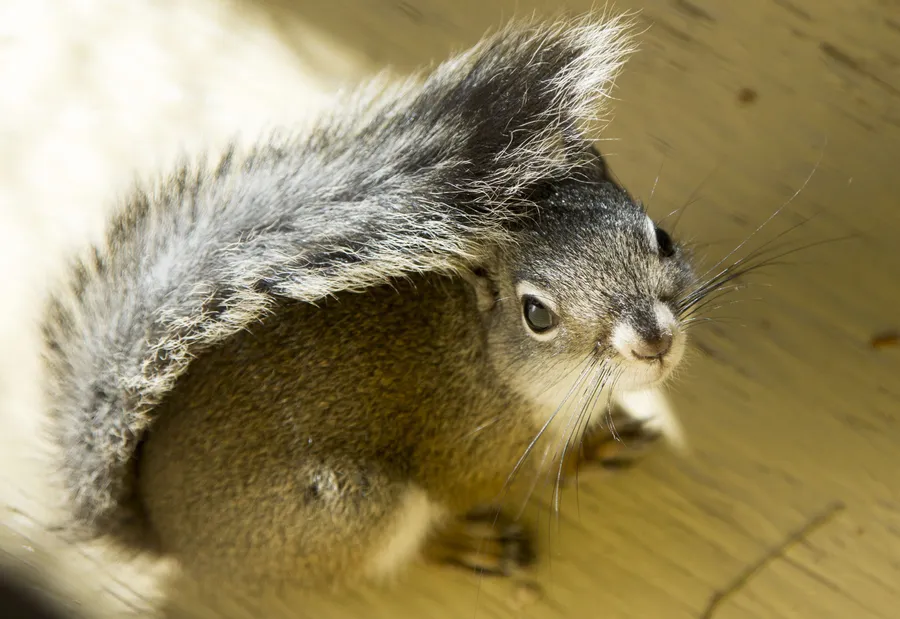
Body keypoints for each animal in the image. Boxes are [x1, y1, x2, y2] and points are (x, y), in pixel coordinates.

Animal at [40, 16, 698, 596]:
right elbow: (519, 474)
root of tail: (169, 533)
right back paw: (471, 546)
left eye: (662, 238)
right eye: (537, 314)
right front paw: (574, 456)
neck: (487, 358)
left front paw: (604, 435)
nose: (653, 340)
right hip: (352, 511)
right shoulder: (468, 451)